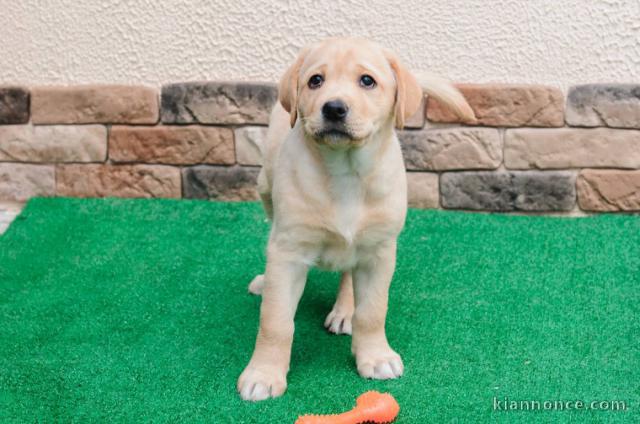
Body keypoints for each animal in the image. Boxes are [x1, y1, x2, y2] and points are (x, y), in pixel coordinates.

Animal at [238, 36, 472, 400]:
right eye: (315, 81)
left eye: (367, 81)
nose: (334, 108)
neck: (345, 170)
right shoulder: (288, 250)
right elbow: (276, 321)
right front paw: (263, 374)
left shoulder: (379, 251)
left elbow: (373, 311)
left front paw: (375, 357)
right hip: (265, 188)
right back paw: (265, 282)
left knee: (350, 273)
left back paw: (345, 310)